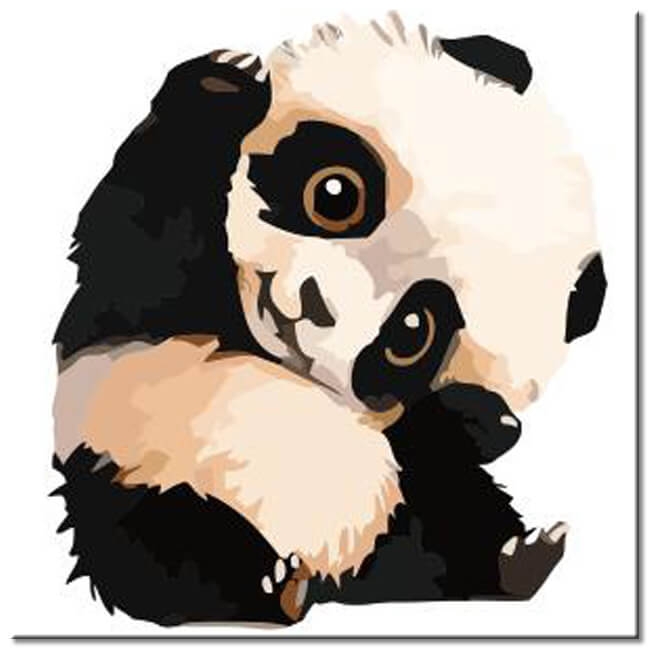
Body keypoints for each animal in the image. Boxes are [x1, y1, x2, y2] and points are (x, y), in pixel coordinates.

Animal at [52, 13, 607, 627]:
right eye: (336, 194)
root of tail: (323, 570)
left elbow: (455, 440)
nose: (311, 302)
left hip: (389, 514)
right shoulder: (134, 312)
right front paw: (224, 81)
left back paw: (516, 557)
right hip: (133, 463)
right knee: (157, 544)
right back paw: (262, 587)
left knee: (438, 526)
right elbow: (133, 247)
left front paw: (480, 421)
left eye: (412, 333)